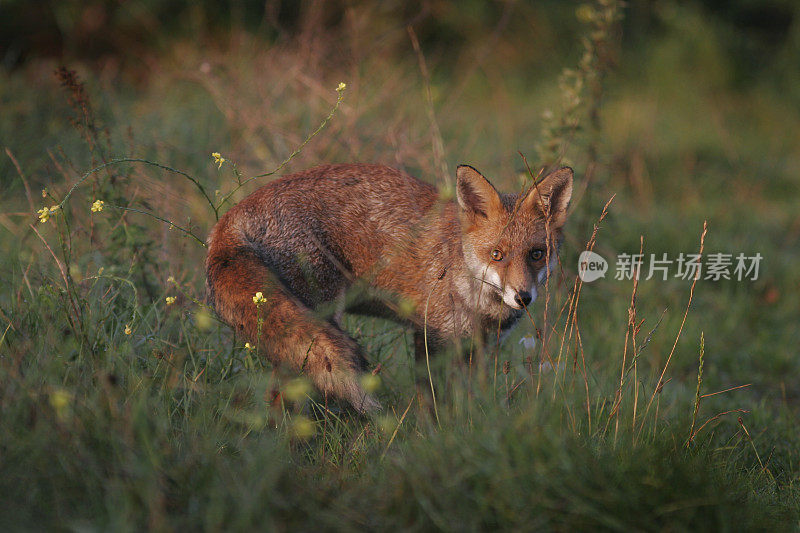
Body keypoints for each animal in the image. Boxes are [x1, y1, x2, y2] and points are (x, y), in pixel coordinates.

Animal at [203, 162, 572, 412]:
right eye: (497, 255)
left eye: (537, 254)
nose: (523, 297)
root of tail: (232, 215)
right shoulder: (431, 337)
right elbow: (433, 402)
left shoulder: (481, 349)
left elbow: (471, 400)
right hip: (315, 325)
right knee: (281, 395)